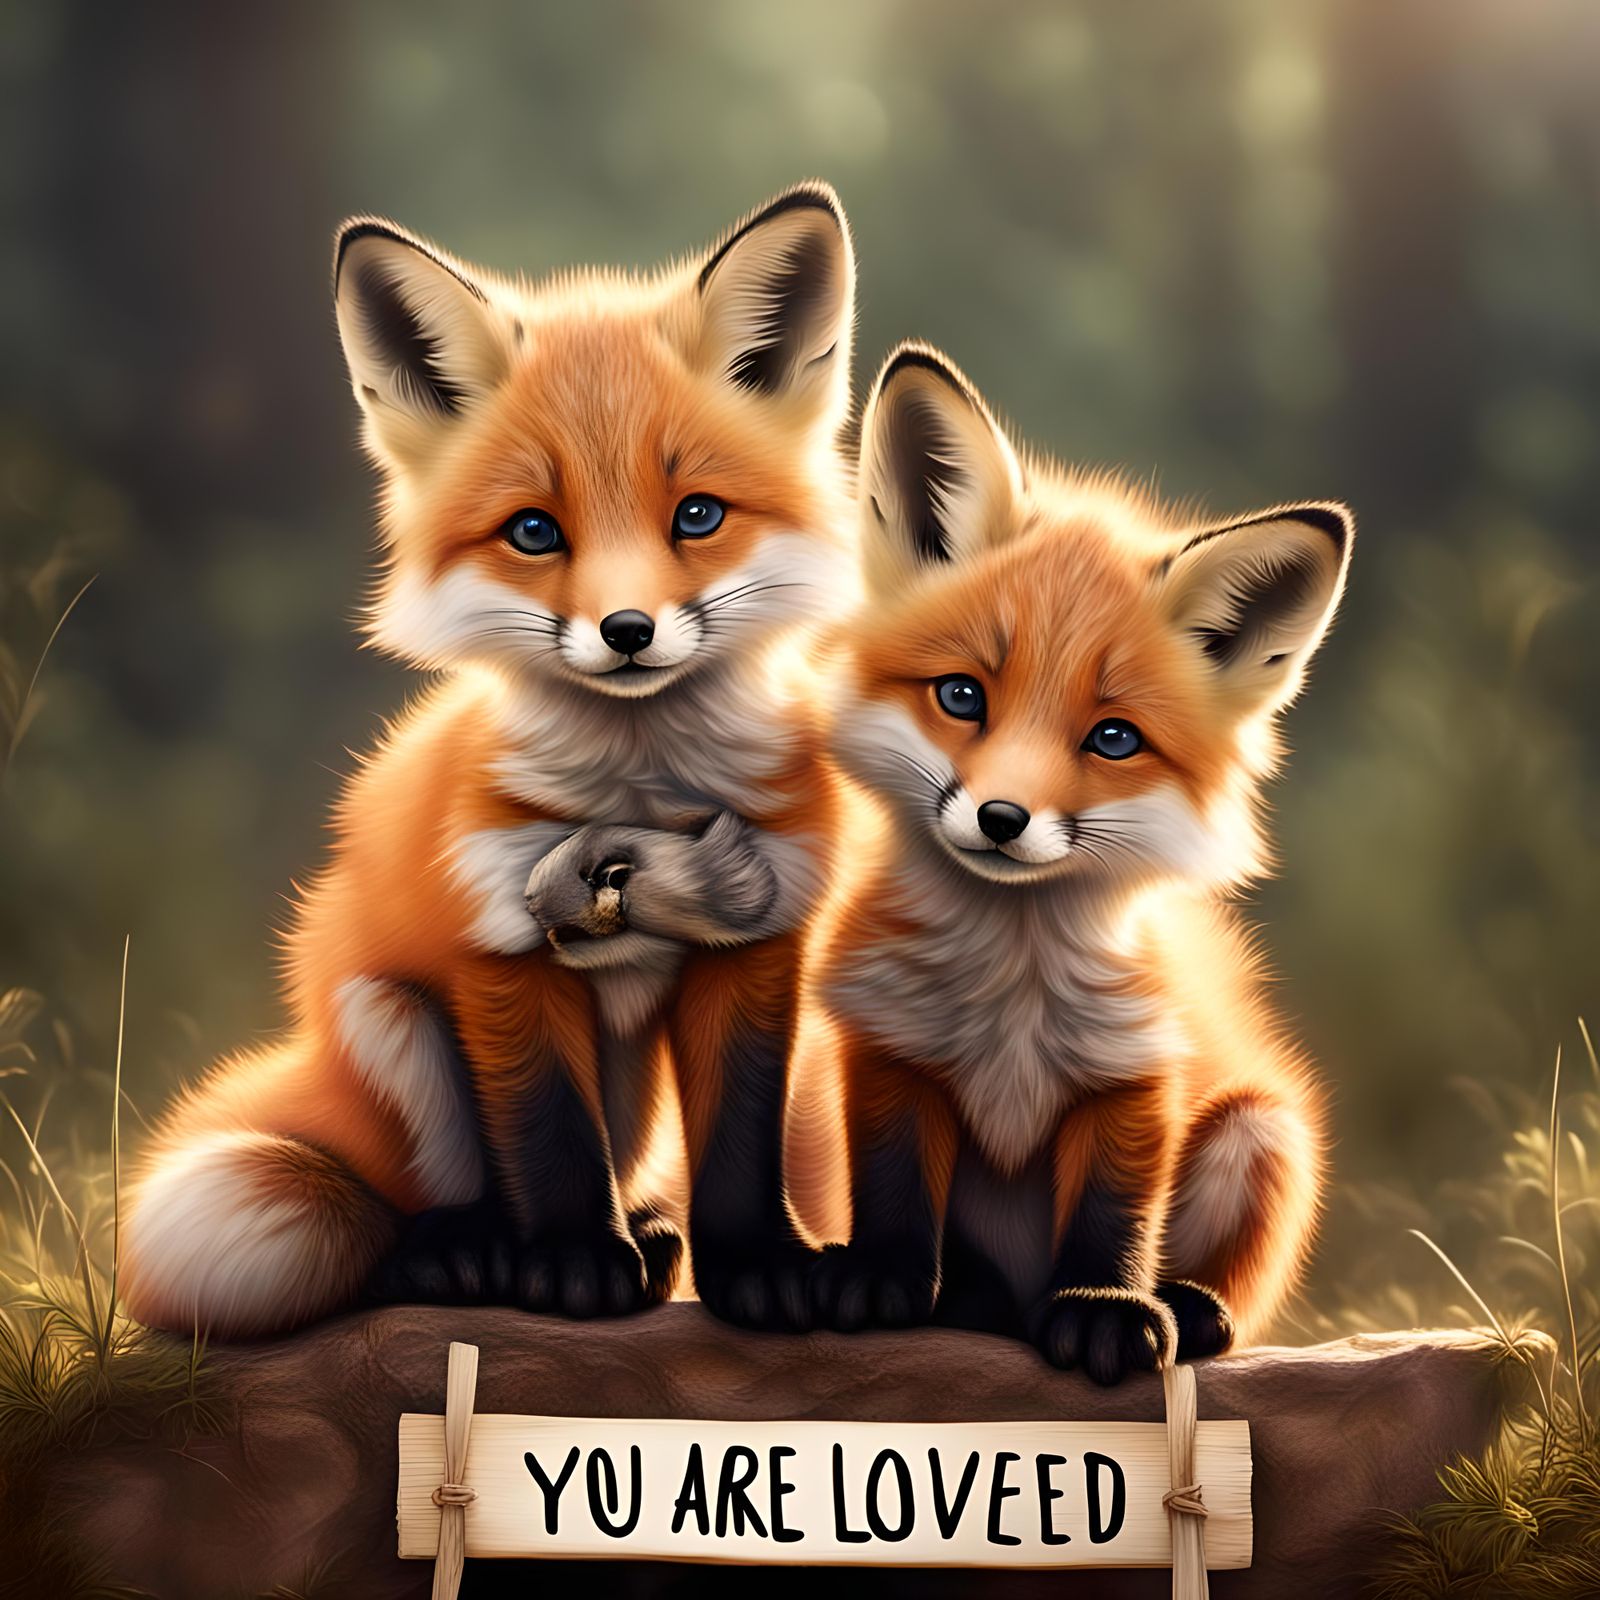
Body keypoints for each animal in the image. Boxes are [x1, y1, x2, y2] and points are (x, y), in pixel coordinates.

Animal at [119, 184, 857, 1338]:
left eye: (697, 514)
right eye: (533, 531)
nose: (627, 631)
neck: (638, 797)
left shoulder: (761, 937)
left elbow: (743, 1138)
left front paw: (762, 1269)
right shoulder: (496, 947)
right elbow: (548, 1137)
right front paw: (571, 1264)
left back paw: (650, 1235)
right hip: (391, 1023)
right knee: (417, 1210)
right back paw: (469, 1253)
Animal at [809, 342, 1352, 1383]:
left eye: (1112, 738)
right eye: (961, 695)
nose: (1002, 818)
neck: (1010, 991)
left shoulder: (1134, 1074)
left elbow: (1112, 1215)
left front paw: (1104, 1312)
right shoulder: (890, 1050)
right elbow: (895, 1188)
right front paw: (887, 1281)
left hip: (1262, 1132)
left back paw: (1188, 1307)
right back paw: (980, 1301)